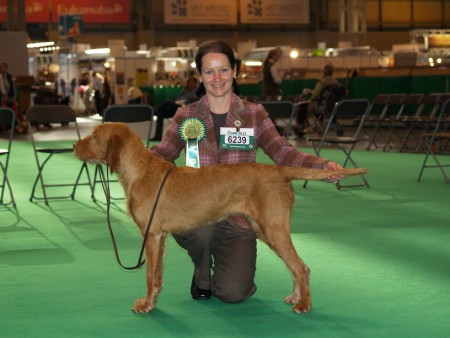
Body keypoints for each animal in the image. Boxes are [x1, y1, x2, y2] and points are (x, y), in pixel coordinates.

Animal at [74, 122, 368, 314]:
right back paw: (295, 297)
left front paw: (145, 305)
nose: (75, 145)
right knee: (293, 266)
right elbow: (157, 275)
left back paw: (304, 304)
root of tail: (278, 170)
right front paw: (153, 302)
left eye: (93, 135)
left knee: (301, 266)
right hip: (267, 230)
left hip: (274, 229)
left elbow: (148, 275)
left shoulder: (152, 235)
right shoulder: (160, 237)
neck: (140, 171)